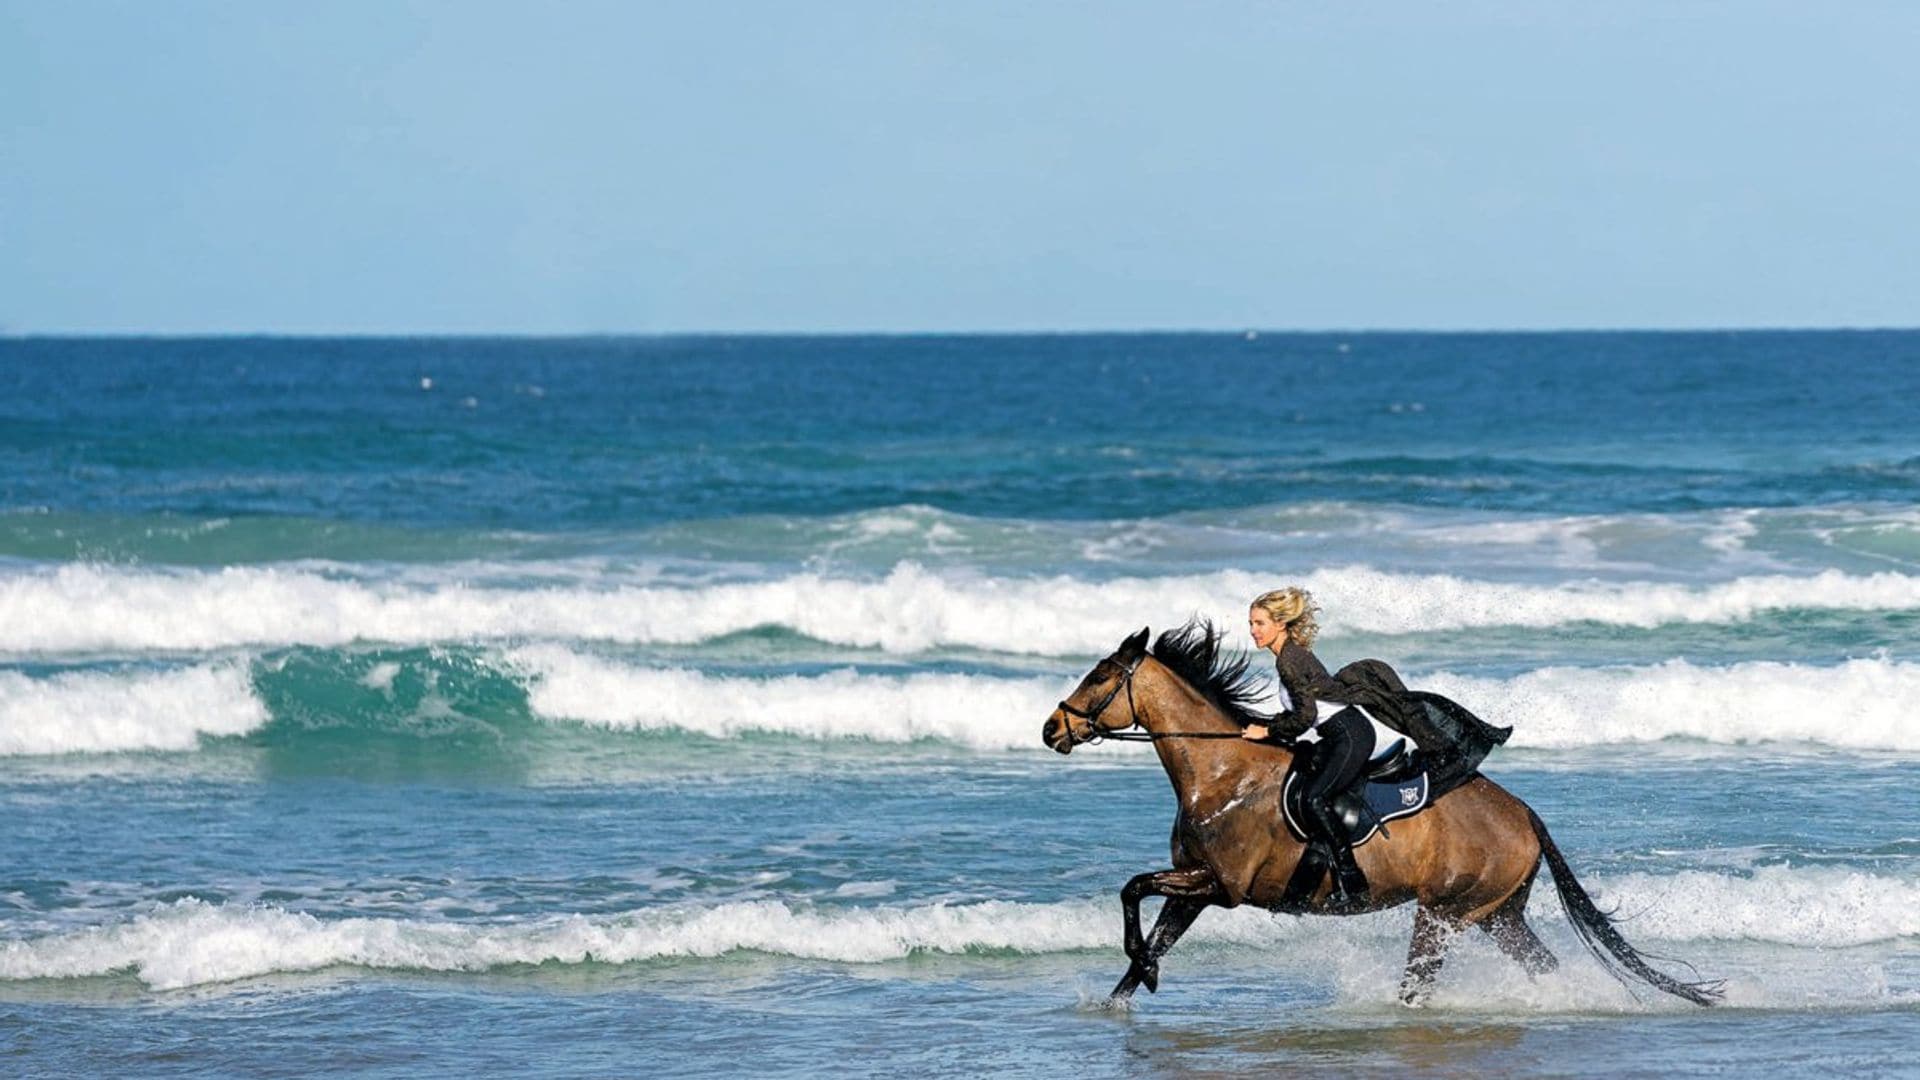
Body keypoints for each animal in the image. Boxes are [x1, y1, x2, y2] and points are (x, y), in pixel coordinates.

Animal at [1044, 618, 1720, 1006]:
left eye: (1100, 676)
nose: (1052, 728)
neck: (1221, 774)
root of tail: (1525, 814)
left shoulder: (1221, 887)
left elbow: (1132, 888)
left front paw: (1144, 970)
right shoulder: (1195, 887)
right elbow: (1146, 933)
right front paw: (1132, 984)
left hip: (1444, 914)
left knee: (1419, 984)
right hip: (1497, 916)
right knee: (1541, 964)